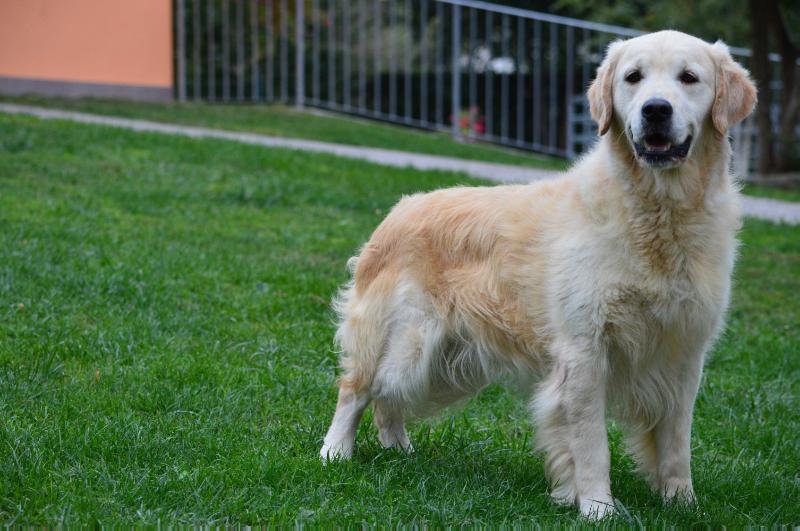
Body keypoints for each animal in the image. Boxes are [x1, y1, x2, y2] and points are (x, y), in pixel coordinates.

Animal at [320, 30, 756, 520]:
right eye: (633, 77)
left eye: (689, 78)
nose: (655, 110)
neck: (658, 213)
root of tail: (400, 208)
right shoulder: (584, 350)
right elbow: (591, 443)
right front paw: (598, 507)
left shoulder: (684, 351)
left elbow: (677, 441)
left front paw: (682, 502)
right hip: (404, 341)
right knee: (356, 388)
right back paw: (335, 452)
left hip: (444, 363)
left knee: (388, 402)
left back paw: (399, 450)